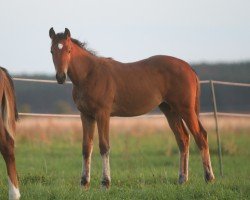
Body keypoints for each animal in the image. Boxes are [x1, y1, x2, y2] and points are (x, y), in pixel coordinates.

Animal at [48, 28, 215, 189]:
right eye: (51, 51)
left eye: (69, 50)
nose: (61, 77)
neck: (89, 74)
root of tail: (189, 68)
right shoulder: (86, 115)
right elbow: (86, 148)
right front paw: (84, 183)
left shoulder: (103, 114)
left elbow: (104, 146)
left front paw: (105, 183)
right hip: (170, 110)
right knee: (183, 139)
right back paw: (182, 179)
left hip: (186, 109)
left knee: (200, 136)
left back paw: (209, 178)